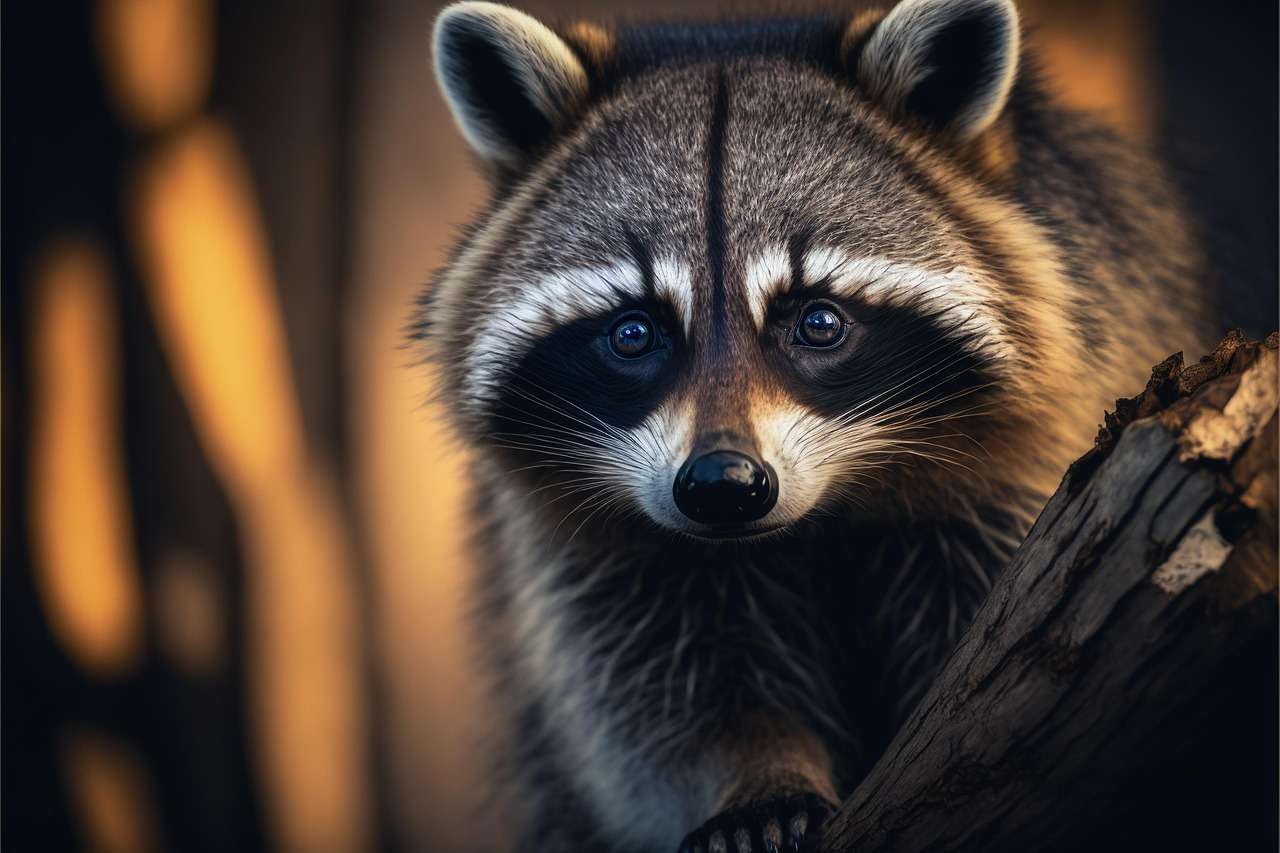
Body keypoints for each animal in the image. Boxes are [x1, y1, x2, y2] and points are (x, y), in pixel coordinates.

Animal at [417, 0, 1214, 850]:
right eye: (633, 333)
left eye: (819, 322)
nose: (723, 485)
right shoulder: (585, 548)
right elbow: (657, 702)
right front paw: (755, 776)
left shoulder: (1043, 444)